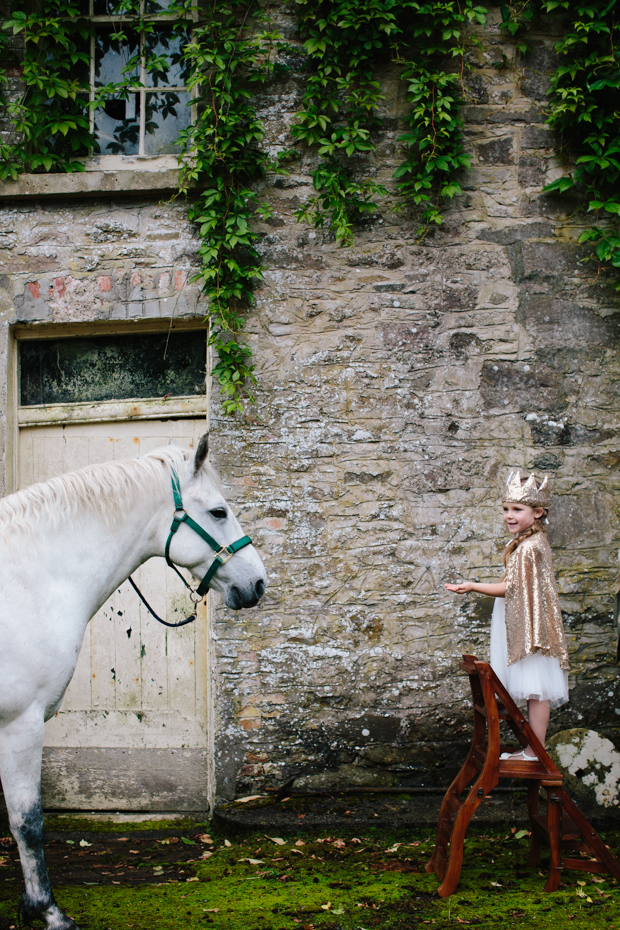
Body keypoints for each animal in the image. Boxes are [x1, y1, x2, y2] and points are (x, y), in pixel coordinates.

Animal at [0, 436, 264, 928]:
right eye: (219, 511)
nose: (258, 582)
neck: (29, 582)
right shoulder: (20, 723)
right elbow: (28, 822)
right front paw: (47, 911)